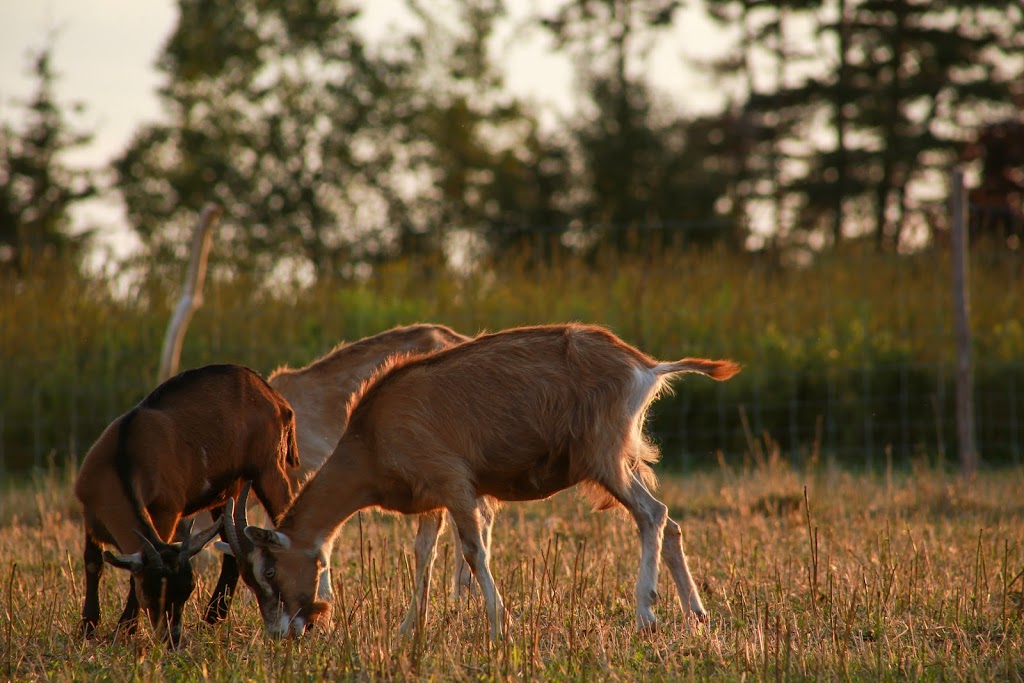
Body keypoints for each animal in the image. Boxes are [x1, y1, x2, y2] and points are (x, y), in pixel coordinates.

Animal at [73, 362, 299, 647]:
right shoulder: (90, 512)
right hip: (227, 491)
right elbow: (93, 563)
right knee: (232, 548)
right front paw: (88, 627)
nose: (173, 639)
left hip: (269, 469)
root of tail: (276, 398)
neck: (123, 459)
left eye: (186, 591)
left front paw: (125, 629)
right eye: (154, 591)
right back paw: (212, 618)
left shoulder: (166, 511)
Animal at [236, 323, 741, 638]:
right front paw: (408, 628)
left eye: (269, 571)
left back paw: (645, 613)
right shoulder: (432, 500)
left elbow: (474, 551)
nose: (283, 633)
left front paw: (501, 625)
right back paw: (697, 615)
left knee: (652, 515)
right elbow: (423, 556)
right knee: (670, 523)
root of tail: (645, 367)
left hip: (606, 463)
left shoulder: (456, 486)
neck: (373, 433)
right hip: (625, 463)